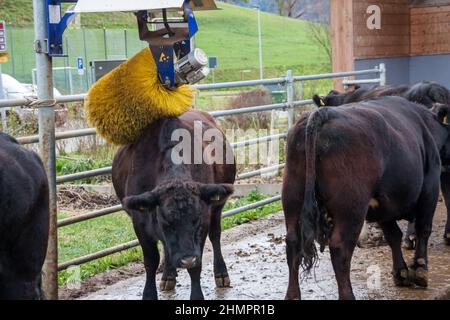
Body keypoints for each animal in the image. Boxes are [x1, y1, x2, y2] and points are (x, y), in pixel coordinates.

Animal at [113, 110, 236, 300]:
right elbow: (151, 261)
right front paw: (149, 294)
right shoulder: (140, 223)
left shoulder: (204, 220)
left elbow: (196, 265)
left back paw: (221, 274)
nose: (186, 260)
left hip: (217, 208)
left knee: (215, 235)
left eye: (196, 220)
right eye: (166, 222)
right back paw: (168, 276)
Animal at [284, 97, 450, 300]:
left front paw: (400, 272)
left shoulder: (384, 206)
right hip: (352, 208)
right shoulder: (430, 187)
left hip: (293, 197)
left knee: (293, 242)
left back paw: (292, 295)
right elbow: (423, 229)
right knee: (340, 247)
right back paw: (347, 295)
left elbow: (394, 235)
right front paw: (420, 270)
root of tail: (323, 113)